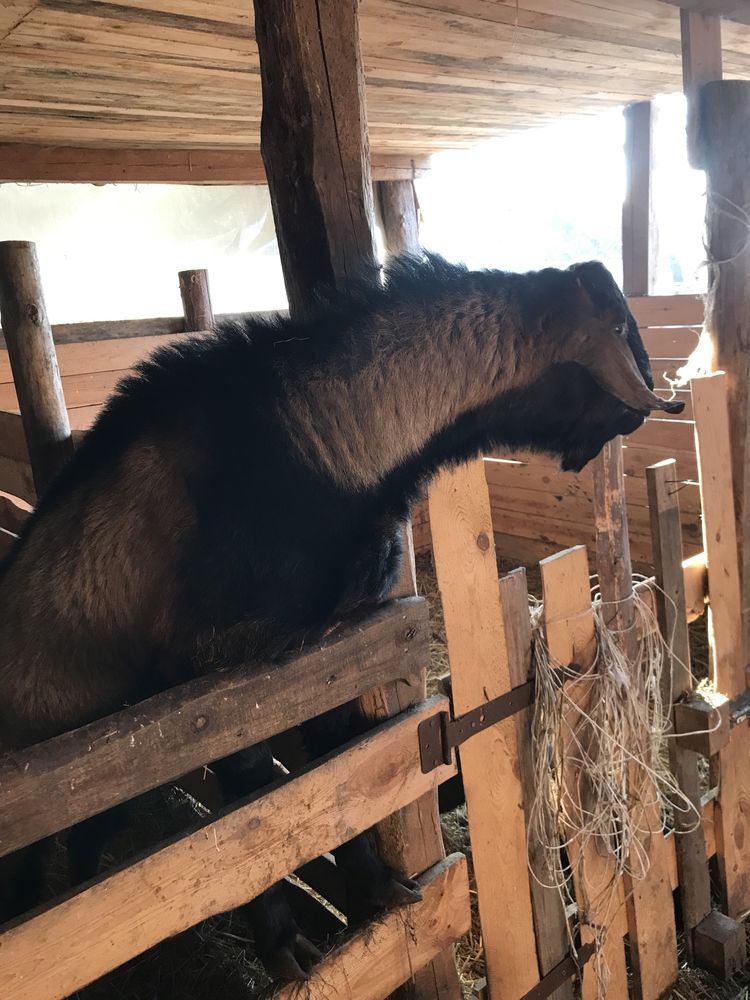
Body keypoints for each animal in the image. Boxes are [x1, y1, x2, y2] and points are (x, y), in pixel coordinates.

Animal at [0, 252, 680, 976]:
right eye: (619, 325)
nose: (646, 410)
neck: (325, 438)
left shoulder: (335, 652)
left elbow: (339, 776)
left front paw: (378, 886)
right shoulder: (224, 676)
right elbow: (252, 805)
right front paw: (282, 943)